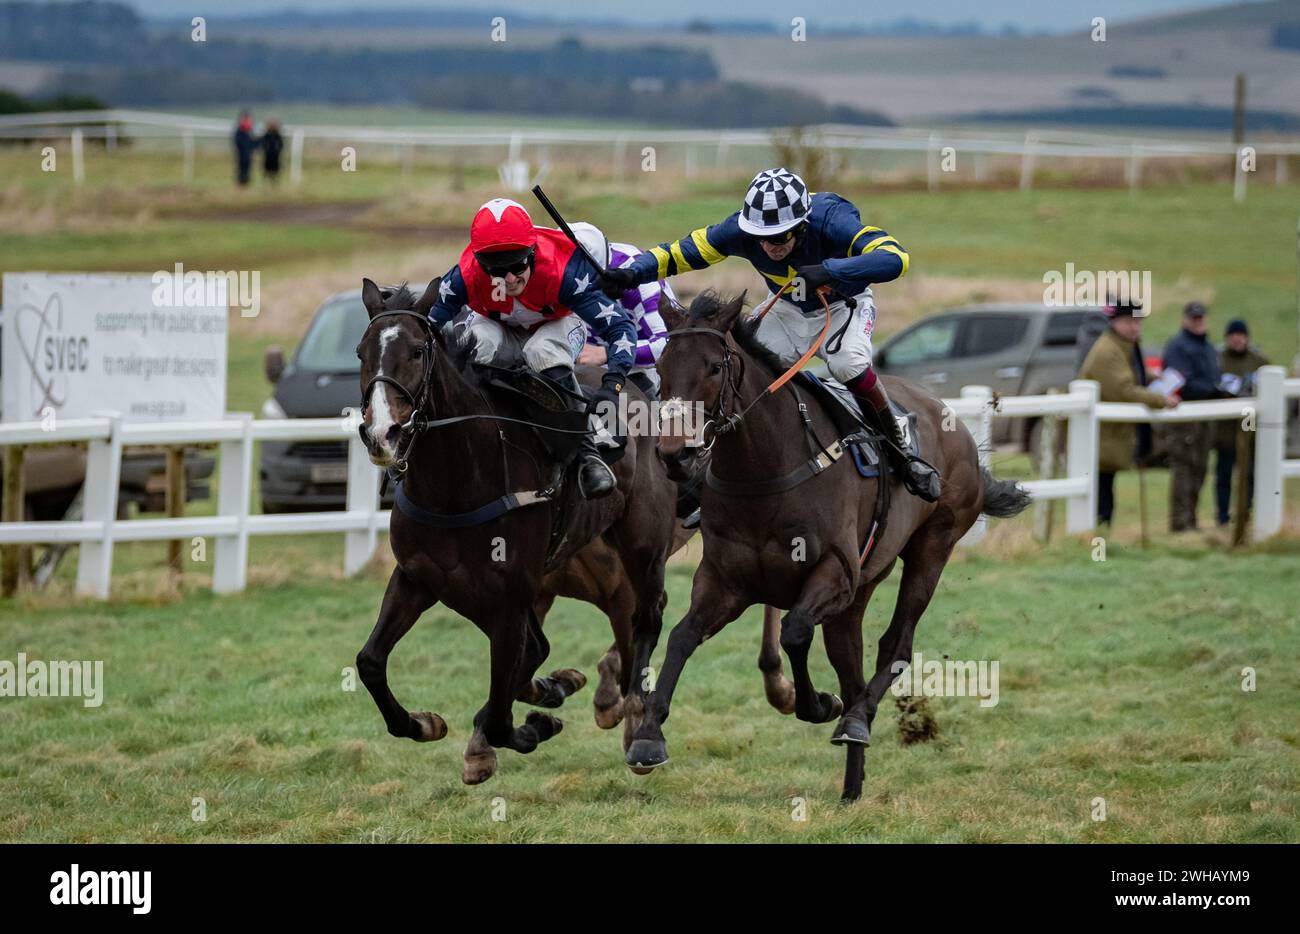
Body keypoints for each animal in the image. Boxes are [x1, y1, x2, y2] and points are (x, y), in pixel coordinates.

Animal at [353, 282, 790, 785]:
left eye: (417, 351)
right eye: (362, 351)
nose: (382, 434)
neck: (458, 482)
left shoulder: (513, 595)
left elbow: (506, 703)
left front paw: (537, 724)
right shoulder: (420, 578)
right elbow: (371, 662)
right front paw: (426, 723)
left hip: (645, 546)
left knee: (650, 618)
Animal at [634, 293, 1029, 806]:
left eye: (715, 367)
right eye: (662, 366)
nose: (675, 454)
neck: (765, 469)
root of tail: (954, 423)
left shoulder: (835, 572)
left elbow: (795, 632)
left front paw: (818, 704)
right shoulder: (724, 581)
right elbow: (682, 636)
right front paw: (647, 737)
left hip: (932, 547)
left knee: (896, 646)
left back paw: (855, 720)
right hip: (858, 594)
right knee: (853, 667)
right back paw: (851, 785)